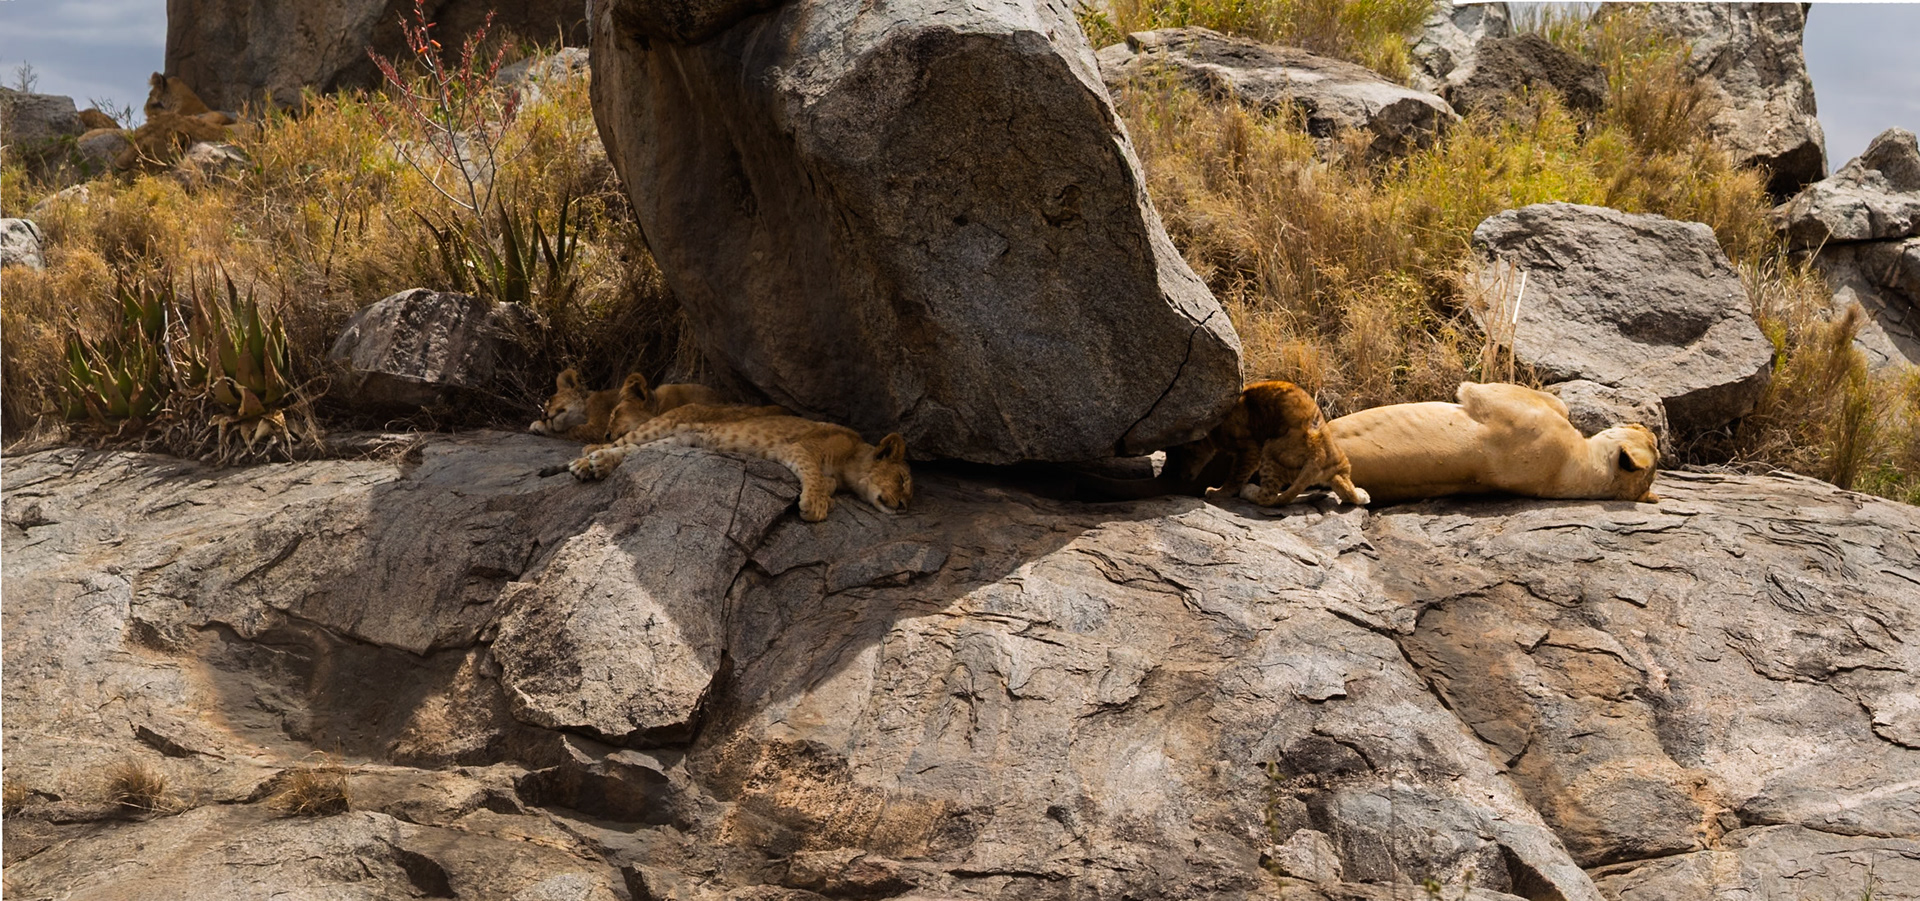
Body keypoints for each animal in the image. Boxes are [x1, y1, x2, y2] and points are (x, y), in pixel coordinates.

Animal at [569, 405, 912, 522]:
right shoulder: (799, 447)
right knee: (622, 442)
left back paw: (598, 464)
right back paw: (586, 459)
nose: (905, 507)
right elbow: (814, 474)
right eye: (903, 480)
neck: (851, 461)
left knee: (634, 451)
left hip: (678, 442)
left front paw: (825, 496)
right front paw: (815, 505)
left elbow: (825, 481)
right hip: (660, 425)